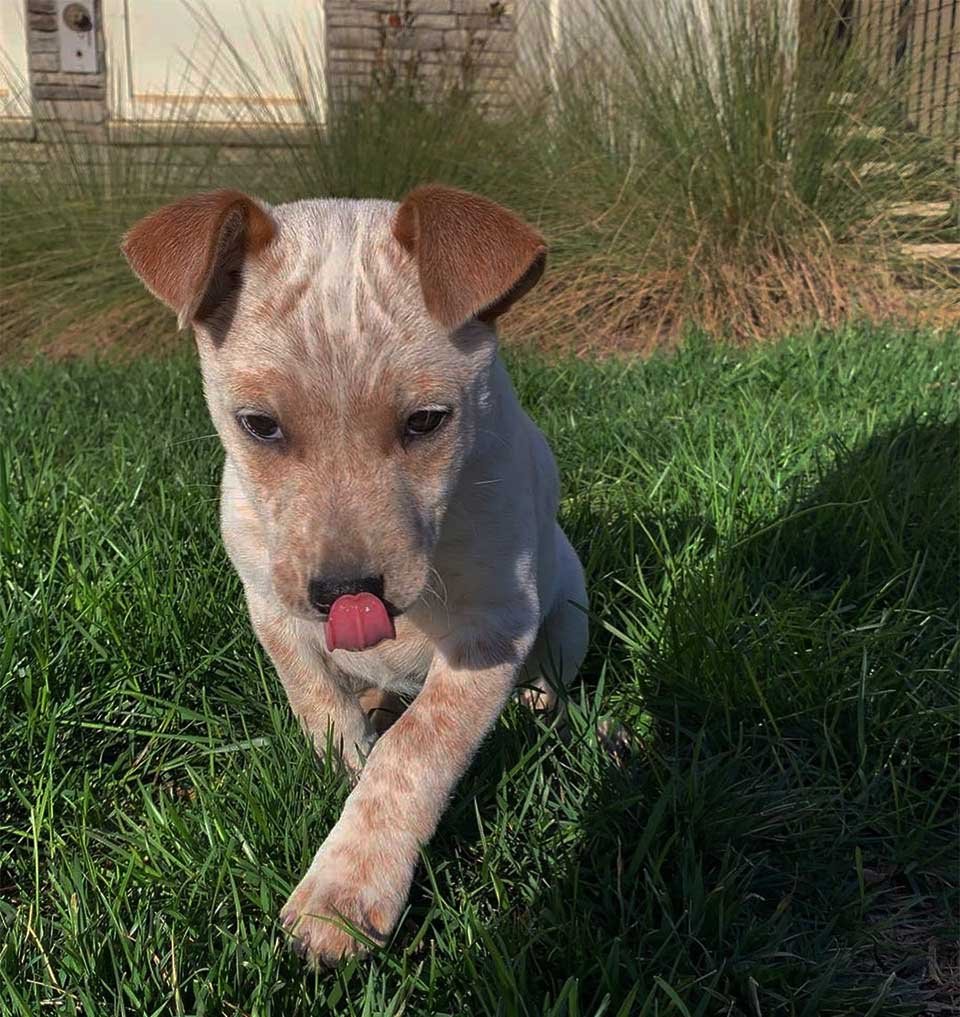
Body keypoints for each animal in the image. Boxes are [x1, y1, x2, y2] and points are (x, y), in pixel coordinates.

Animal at [120, 187, 585, 964]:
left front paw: (343, 892)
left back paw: (532, 703)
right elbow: (315, 699)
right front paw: (341, 762)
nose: (344, 595)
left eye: (427, 421)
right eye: (259, 425)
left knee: (548, 675)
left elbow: (413, 751)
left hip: (569, 605)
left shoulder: (493, 627)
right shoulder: (271, 601)